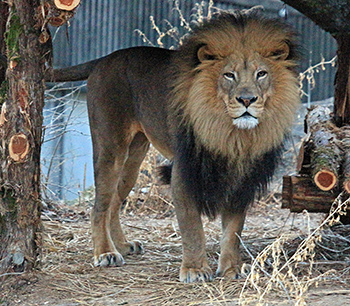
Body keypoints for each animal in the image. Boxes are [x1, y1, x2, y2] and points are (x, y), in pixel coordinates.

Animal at [48, 10, 300, 282]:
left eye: (261, 74)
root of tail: (105, 58)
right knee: (99, 206)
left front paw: (231, 268)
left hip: (133, 159)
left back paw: (123, 245)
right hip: (111, 148)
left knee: (114, 202)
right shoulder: (184, 170)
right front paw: (195, 269)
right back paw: (105, 253)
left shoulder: (241, 175)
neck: (231, 134)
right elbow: (192, 226)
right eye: (228, 75)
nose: (246, 99)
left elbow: (234, 229)